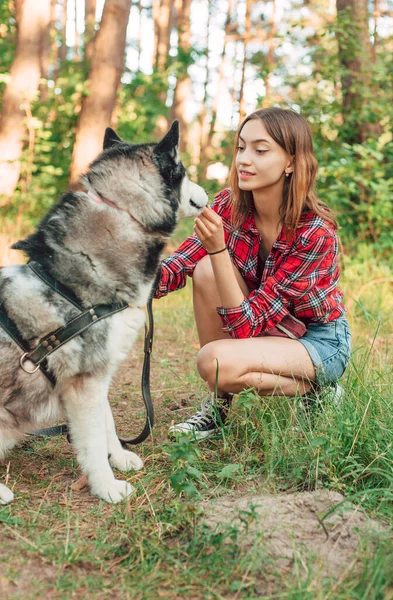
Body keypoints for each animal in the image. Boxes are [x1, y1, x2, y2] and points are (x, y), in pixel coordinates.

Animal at [0, 123, 208, 506]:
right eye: (184, 170)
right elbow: (93, 441)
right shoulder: (84, 382)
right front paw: (107, 486)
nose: (210, 195)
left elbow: (106, 423)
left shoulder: (100, 375)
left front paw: (120, 458)